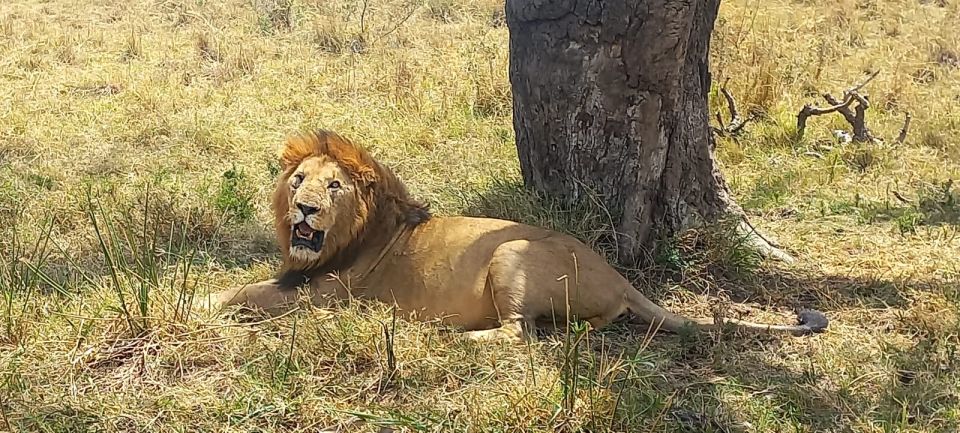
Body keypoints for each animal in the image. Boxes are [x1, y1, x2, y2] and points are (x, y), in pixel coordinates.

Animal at [210, 129, 824, 340]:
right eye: (298, 181)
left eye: (334, 186)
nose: (305, 210)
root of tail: (619, 277)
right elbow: (246, 281)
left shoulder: (321, 295)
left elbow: (245, 292)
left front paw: (196, 301)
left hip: (510, 251)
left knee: (518, 335)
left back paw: (451, 337)